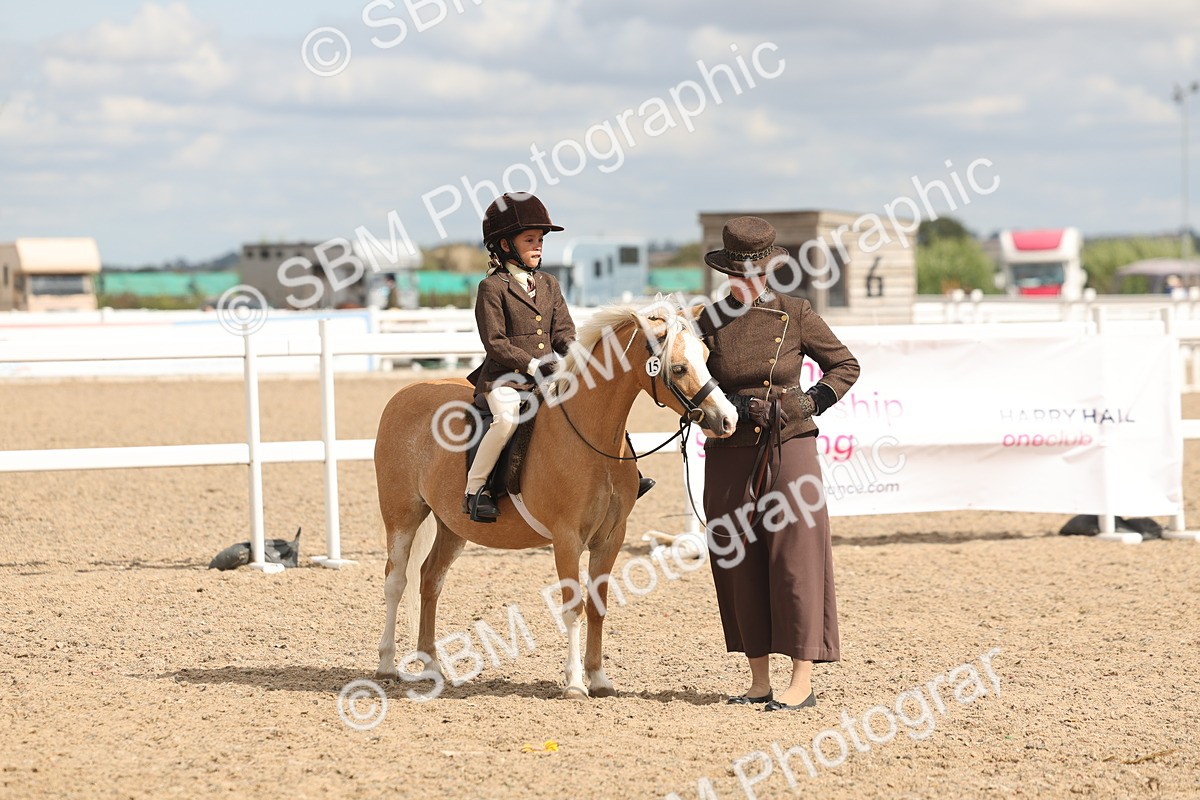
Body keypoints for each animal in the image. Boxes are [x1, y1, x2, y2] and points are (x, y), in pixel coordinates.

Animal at [373, 303, 737, 699]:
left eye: (705, 357)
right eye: (679, 367)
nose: (728, 419)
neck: (591, 436)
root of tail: (404, 394)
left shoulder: (611, 538)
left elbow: (597, 606)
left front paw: (599, 678)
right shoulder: (567, 539)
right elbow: (573, 608)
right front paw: (575, 682)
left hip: (452, 525)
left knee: (430, 580)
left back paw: (433, 666)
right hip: (402, 517)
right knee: (396, 582)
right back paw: (387, 665)